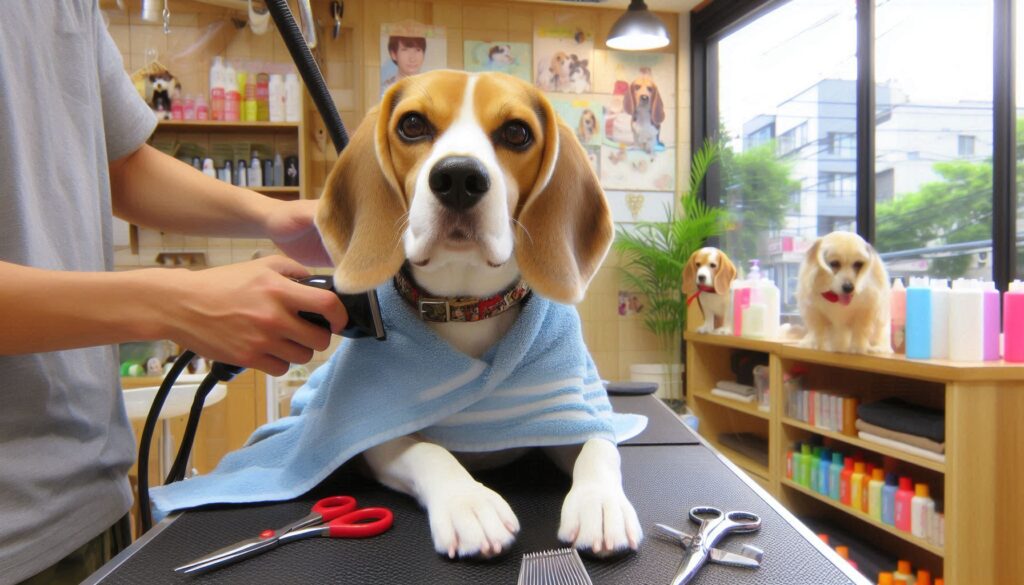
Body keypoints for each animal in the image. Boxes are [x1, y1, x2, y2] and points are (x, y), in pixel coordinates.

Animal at [315, 72, 643, 557]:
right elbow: (429, 452)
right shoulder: (376, 440)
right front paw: (468, 503)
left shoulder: (571, 413)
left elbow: (600, 448)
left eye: (516, 132)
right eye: (412, 124)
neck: (466, 306)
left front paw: (600, 503)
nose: (458, 176)